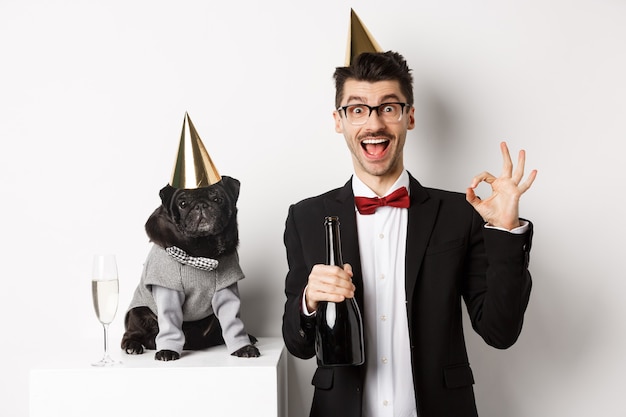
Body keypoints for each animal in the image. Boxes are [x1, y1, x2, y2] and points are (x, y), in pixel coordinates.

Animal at [119, 176, 258, 360]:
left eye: (217, 199)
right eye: (183, 203)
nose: (201, 205)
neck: (202, 249)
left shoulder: (226, 290)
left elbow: (232, 321)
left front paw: (243, 347)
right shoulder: (169, 291)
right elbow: (170, 324)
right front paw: (167, 350)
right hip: (139, 312)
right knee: (130, 334)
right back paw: (133, 346)